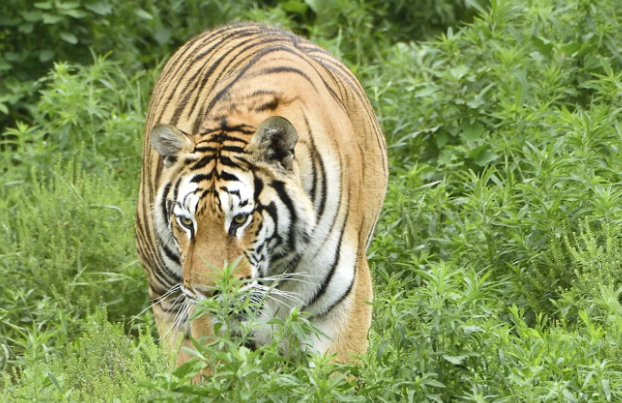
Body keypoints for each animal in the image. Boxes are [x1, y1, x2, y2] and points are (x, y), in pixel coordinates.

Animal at [136, 22, 388, 364]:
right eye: (187, 222)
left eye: (240, 220)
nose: (208, 293)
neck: (279, 265)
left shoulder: (345, 303)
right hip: (164, 283)